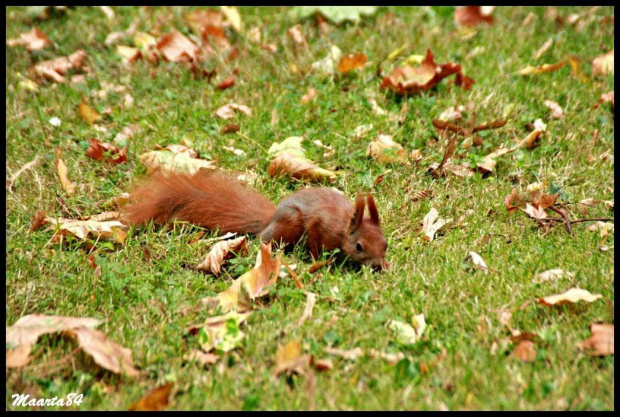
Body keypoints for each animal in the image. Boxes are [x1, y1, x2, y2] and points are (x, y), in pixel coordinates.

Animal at [125, 170, 388, 270]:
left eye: (385, 244)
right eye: (359, 246)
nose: (378, 265)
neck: (345, 226)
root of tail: (271, 218)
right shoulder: (320, 226)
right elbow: (314, 243)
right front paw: (318, 261)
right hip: (290, 223)